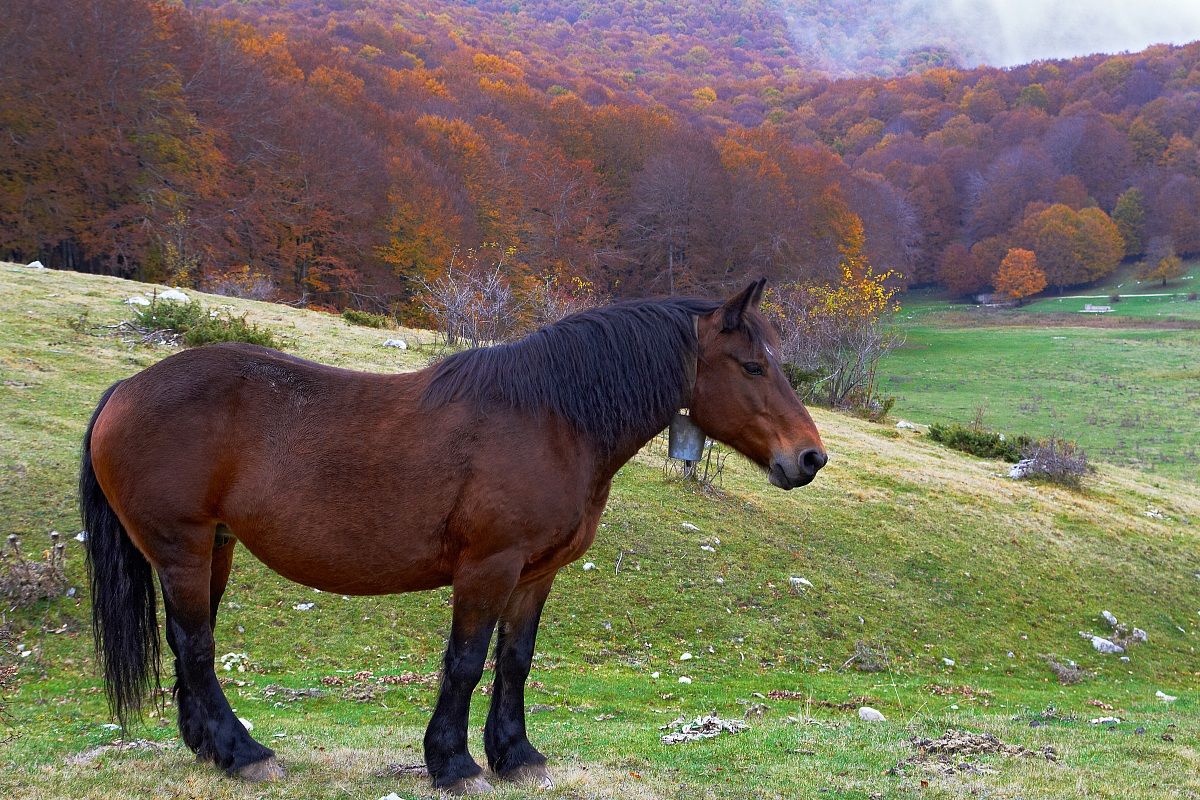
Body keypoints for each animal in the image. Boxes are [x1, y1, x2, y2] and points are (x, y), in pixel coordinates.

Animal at [79, 279, 826, 794]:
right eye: (753, 367)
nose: (809, 458)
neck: (550, 419)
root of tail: (124, 390)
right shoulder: (487, 568)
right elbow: (465, 662)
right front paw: (454, 763)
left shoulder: (534, 574)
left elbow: (515, 660)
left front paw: (516, 755)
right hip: (182, 548)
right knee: (196, 645)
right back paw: (244, 754)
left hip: (215, 548)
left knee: (188, 644)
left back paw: (209, 749)